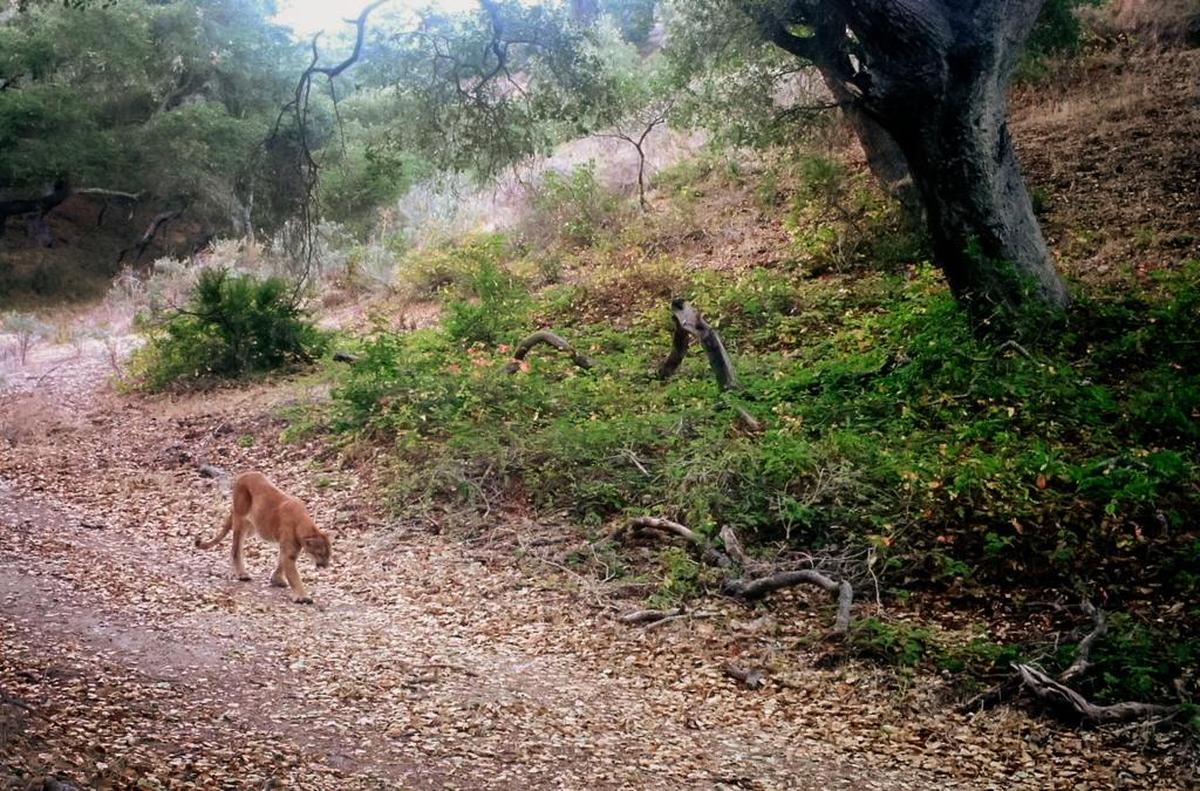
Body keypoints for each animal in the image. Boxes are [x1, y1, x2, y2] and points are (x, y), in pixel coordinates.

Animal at [195, 471, 331, 604]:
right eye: (320, 553)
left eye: (329, 554)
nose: (325, 565)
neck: (304, 524)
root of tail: (244, 475)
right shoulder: (290, 552)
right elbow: (294, 576)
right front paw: (303, 597)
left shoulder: (289, 548)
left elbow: (281, 562)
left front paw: (276, 579)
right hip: (241, 520)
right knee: (236, 548)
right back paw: (241, 574)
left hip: (251, 527)